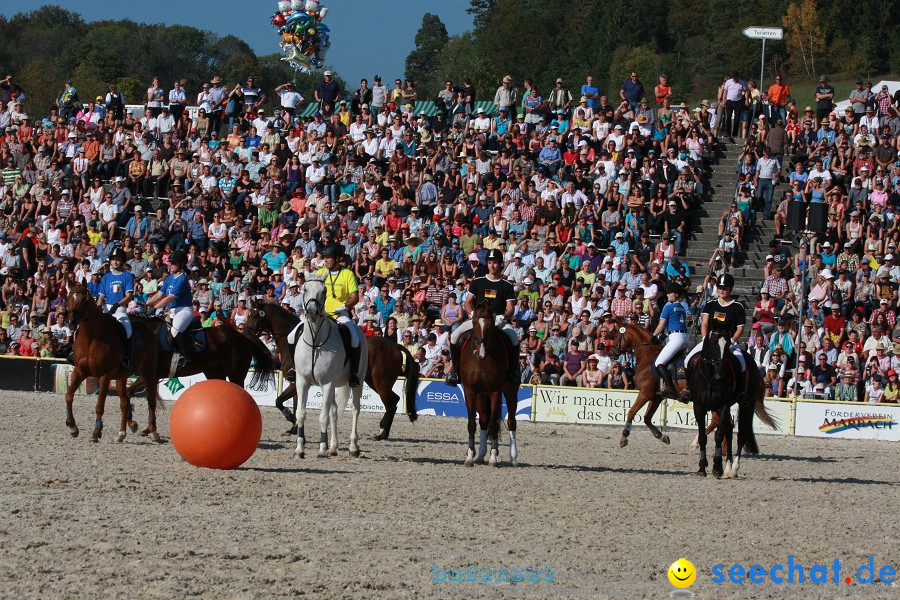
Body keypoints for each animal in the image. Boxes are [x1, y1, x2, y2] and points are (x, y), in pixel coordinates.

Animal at [65, 284, 278, 442]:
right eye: (69, 298)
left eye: (83, 300)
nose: (71, 322)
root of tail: (241, 335)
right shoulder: (147, 375)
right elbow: (130, 394)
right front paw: (137, 426)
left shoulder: (147, 374)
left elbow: (136, 396)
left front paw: (143, 428)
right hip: (214, 372)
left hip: (236, 374)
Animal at [241, 302, 420, 438]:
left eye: (255, 316)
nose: (244, 332)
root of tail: (395, 346)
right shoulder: (298, 382)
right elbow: (295, 404)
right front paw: (294, 427)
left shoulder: (297, 382)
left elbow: (279, 401)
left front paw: (291, 419)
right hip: (374, 382)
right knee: (394, 400)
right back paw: (382, 427)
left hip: (381, 382)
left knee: (392, 403)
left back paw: (383, 434)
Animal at [294, 278, 368, 458]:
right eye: (304, 289)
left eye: (324, 291)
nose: (312, 312)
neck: (315, 342)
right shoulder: (302, 381)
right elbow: (301, 414)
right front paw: (299, 449)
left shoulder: (327, 383)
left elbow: (323, 417)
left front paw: (321, 449)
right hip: (335, 385)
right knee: (334, 412)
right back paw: (333, 447)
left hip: (358, 381)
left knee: (355, 409)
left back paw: (353, 448)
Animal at [460, 298, 516, 466]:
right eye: (474, 322)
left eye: (491, 324)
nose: (481, 353)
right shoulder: (470, 390)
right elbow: (472, 424)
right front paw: (470, 456)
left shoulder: (495, 390)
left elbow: (494, 424)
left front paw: (493, 458)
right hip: (481, 395)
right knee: (484, 420)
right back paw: (480, 455)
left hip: (510, 390)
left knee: (511, 421)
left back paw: (513, 458)